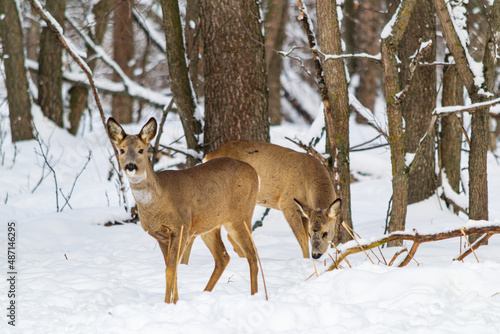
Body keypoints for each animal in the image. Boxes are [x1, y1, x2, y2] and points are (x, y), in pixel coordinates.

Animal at [107, 118, 260, 304]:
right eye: (121, 150)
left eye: (141, 149)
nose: (130, 166)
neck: (159, 202)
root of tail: (254, 171)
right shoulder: (161, 236)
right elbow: (172, 269)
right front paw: (175, 302)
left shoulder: (181, 228)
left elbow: (171, 270)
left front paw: (168, 304)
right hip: (209, 226)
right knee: (223, 257)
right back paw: (205, 294)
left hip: (241, 215)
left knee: (252, 254)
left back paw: (255, 296)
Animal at [201, 140, 342, 260]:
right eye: (311, 234)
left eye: (325, 233)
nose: (316, 255)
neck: (309, 180)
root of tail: (208, 156)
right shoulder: (287, 202)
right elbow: (301, 237)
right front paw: (306, 261)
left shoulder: (305, 211)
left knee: (231, 235)